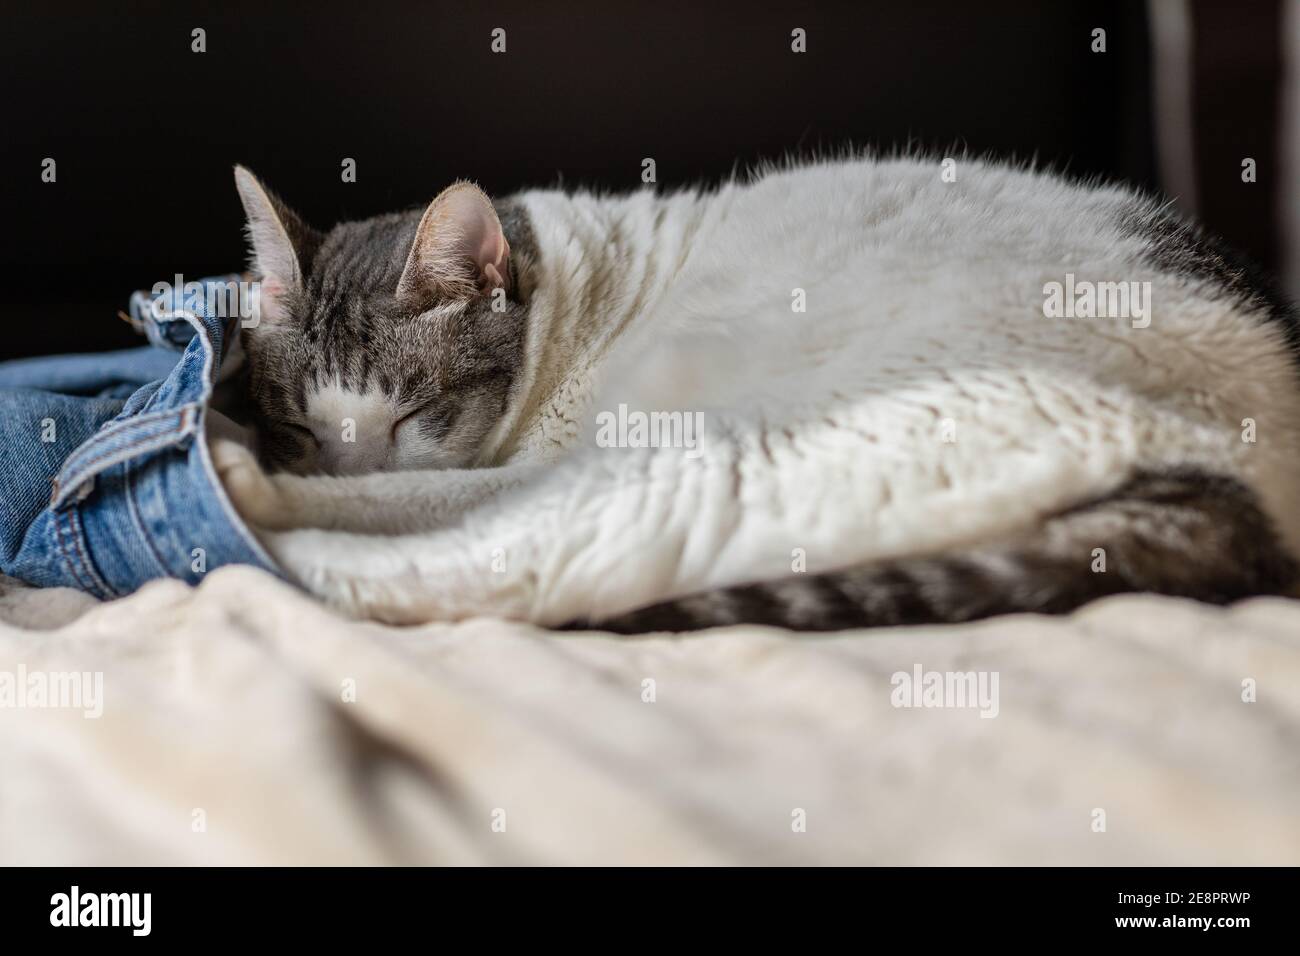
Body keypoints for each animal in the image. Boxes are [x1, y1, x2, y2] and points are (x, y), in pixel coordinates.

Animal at [218, 155, 1300, 634]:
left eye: (411, 414)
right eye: (302, 423)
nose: (324, 462)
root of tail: (1235, 473)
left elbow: (422, 494)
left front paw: (269, 478)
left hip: (710, 458)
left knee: (510, 567)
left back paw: (251, 516)